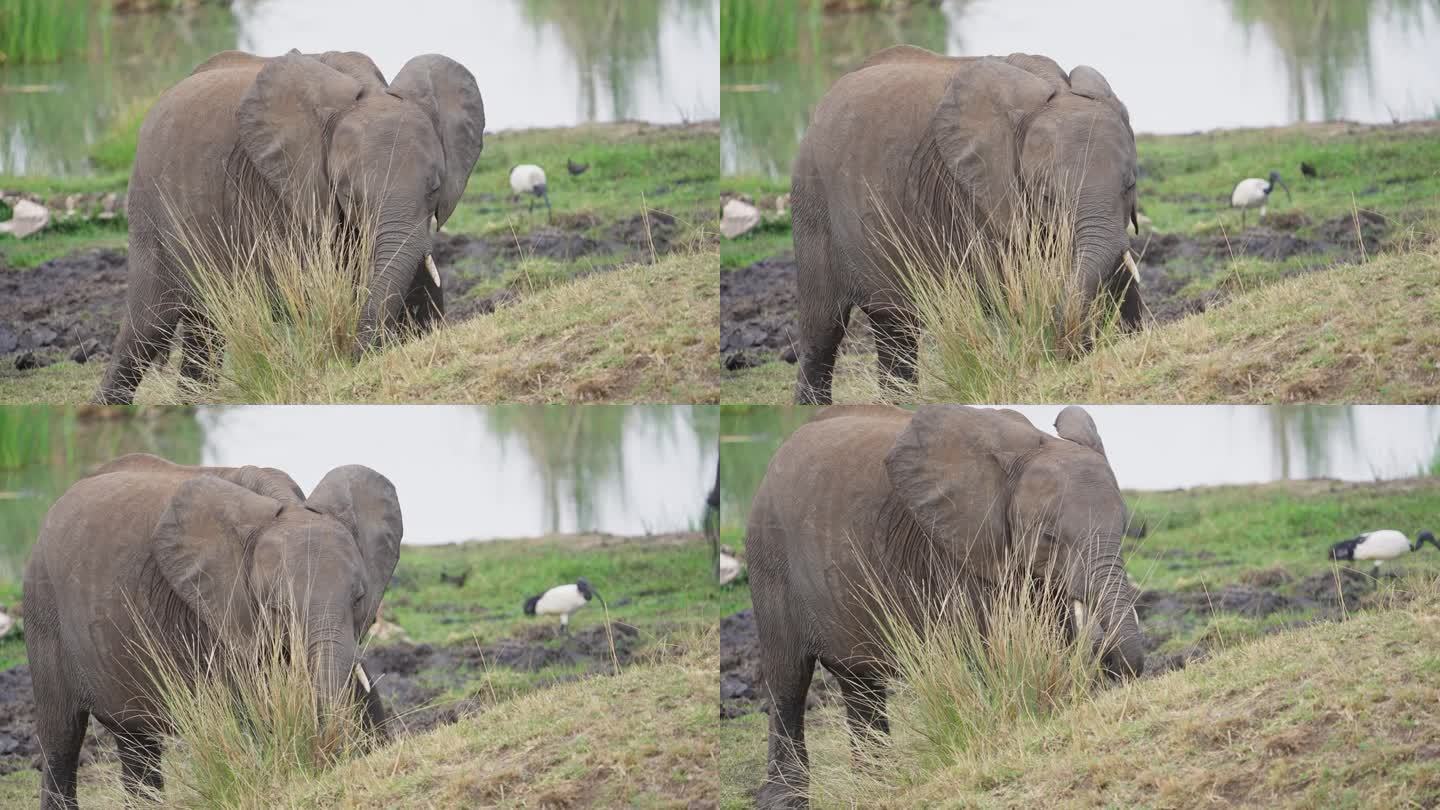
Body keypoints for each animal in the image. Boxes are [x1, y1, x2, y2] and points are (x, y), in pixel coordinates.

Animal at [22, 449, 403, 801]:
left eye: (358, 598)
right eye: (277, 607)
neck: (284, 505)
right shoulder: (208, 612)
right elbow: (246, 707)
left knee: (137, 742)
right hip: (42, 610)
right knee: (62, 738)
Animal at [100, 47, 489, 403]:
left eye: (435, 188)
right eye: (348, 193)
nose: (355, 358)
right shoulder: (283, 191)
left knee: (205, 331)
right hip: (150, 213)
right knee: (148, 328)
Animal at [748, 403, 1140, 807]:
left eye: (1126, 528)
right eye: (1048, 536)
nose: (1109, 659)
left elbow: (1053, 633)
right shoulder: (953, 549)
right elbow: (986, 645)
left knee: (861, 683)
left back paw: (877, 785)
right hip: (769, 559)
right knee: (789, 679)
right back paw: (786, 800)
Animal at [794, 45, 1140, 400]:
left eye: (1131, 185)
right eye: (1046, 196)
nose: (1069, 344)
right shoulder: (968, 196)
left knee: (896, 327)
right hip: (812, 204)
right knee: (824, 329)